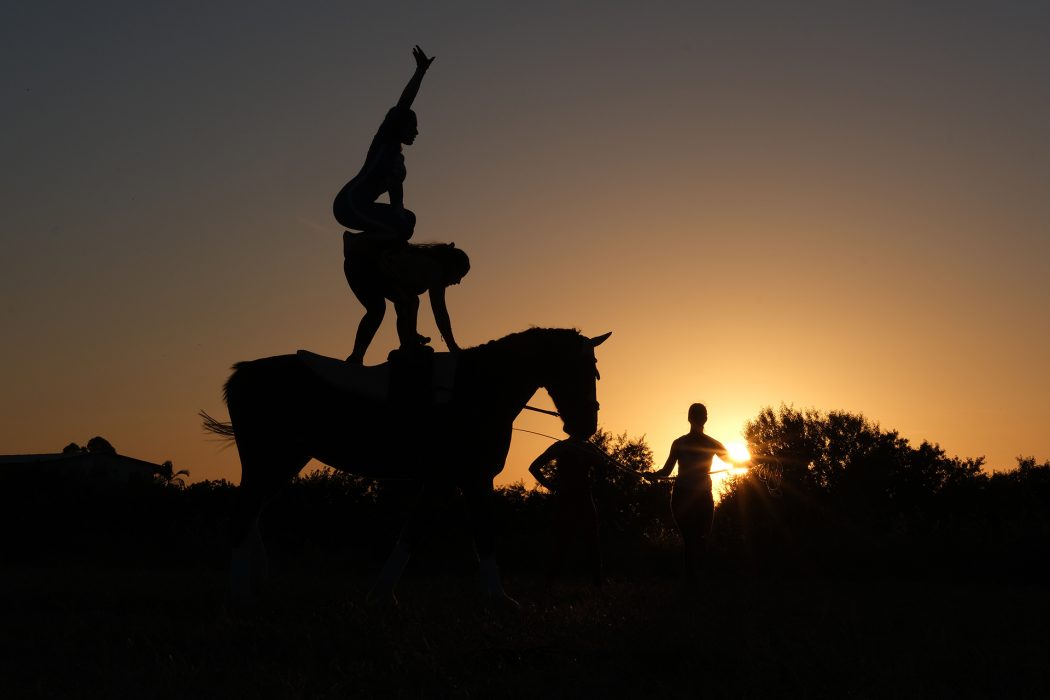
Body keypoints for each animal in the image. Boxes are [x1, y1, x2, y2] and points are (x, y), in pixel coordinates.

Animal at [202, 329, 609, 608]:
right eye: (586, 369)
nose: (586, 426)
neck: (474, 389)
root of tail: (242, 374)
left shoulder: (450, 480)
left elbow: (417, 530)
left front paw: (382, 594)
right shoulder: (466, 478)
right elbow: (472, 533)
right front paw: (499, 599)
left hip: (282, 461)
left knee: (253, 512)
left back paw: (258, 582)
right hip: (268, 461)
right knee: (243, 516)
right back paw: (240, 593)